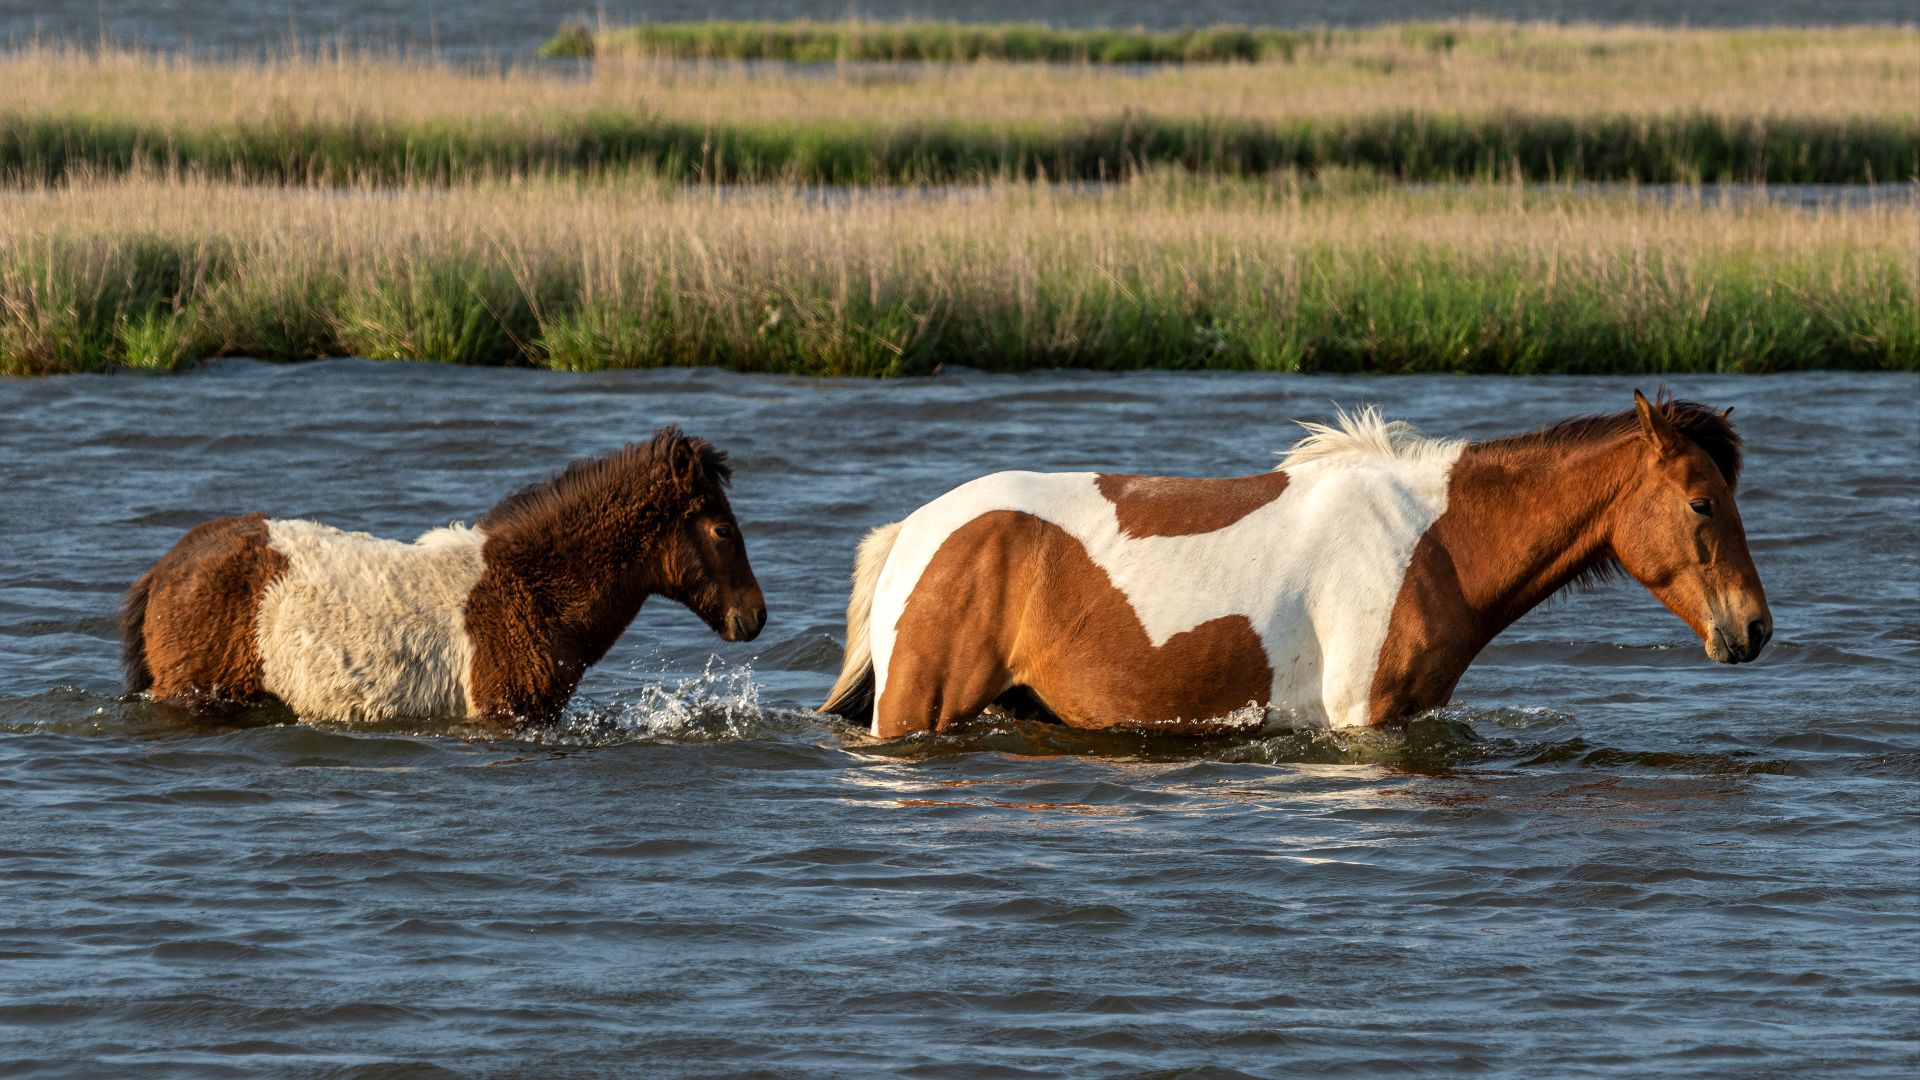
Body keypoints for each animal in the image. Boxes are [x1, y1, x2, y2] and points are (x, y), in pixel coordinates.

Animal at [822, 391, 1771, 739]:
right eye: (1702, 503)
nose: (1754, 629)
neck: (1430, 541)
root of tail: (913, 531)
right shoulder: (1361, 717)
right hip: (917, 708)